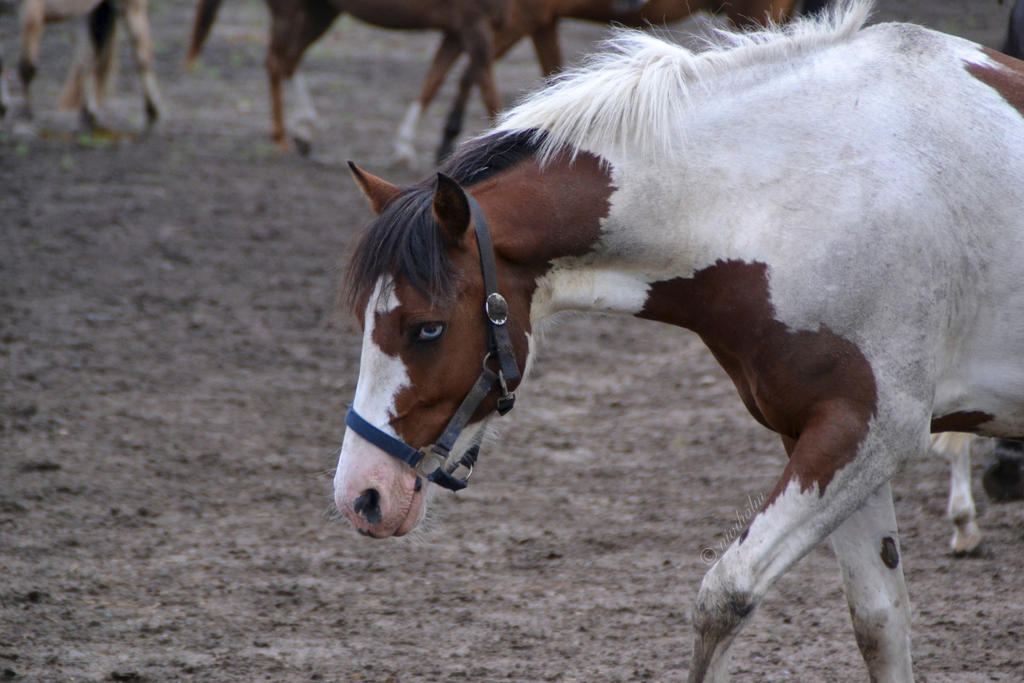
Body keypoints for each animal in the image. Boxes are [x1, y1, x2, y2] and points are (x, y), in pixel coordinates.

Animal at [333, 3, 1024, 679]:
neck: (804, 194)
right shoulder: (827, 435)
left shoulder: (873, 433)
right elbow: (880, 621)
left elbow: (726, 594)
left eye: (428, 327)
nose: (361, 496)